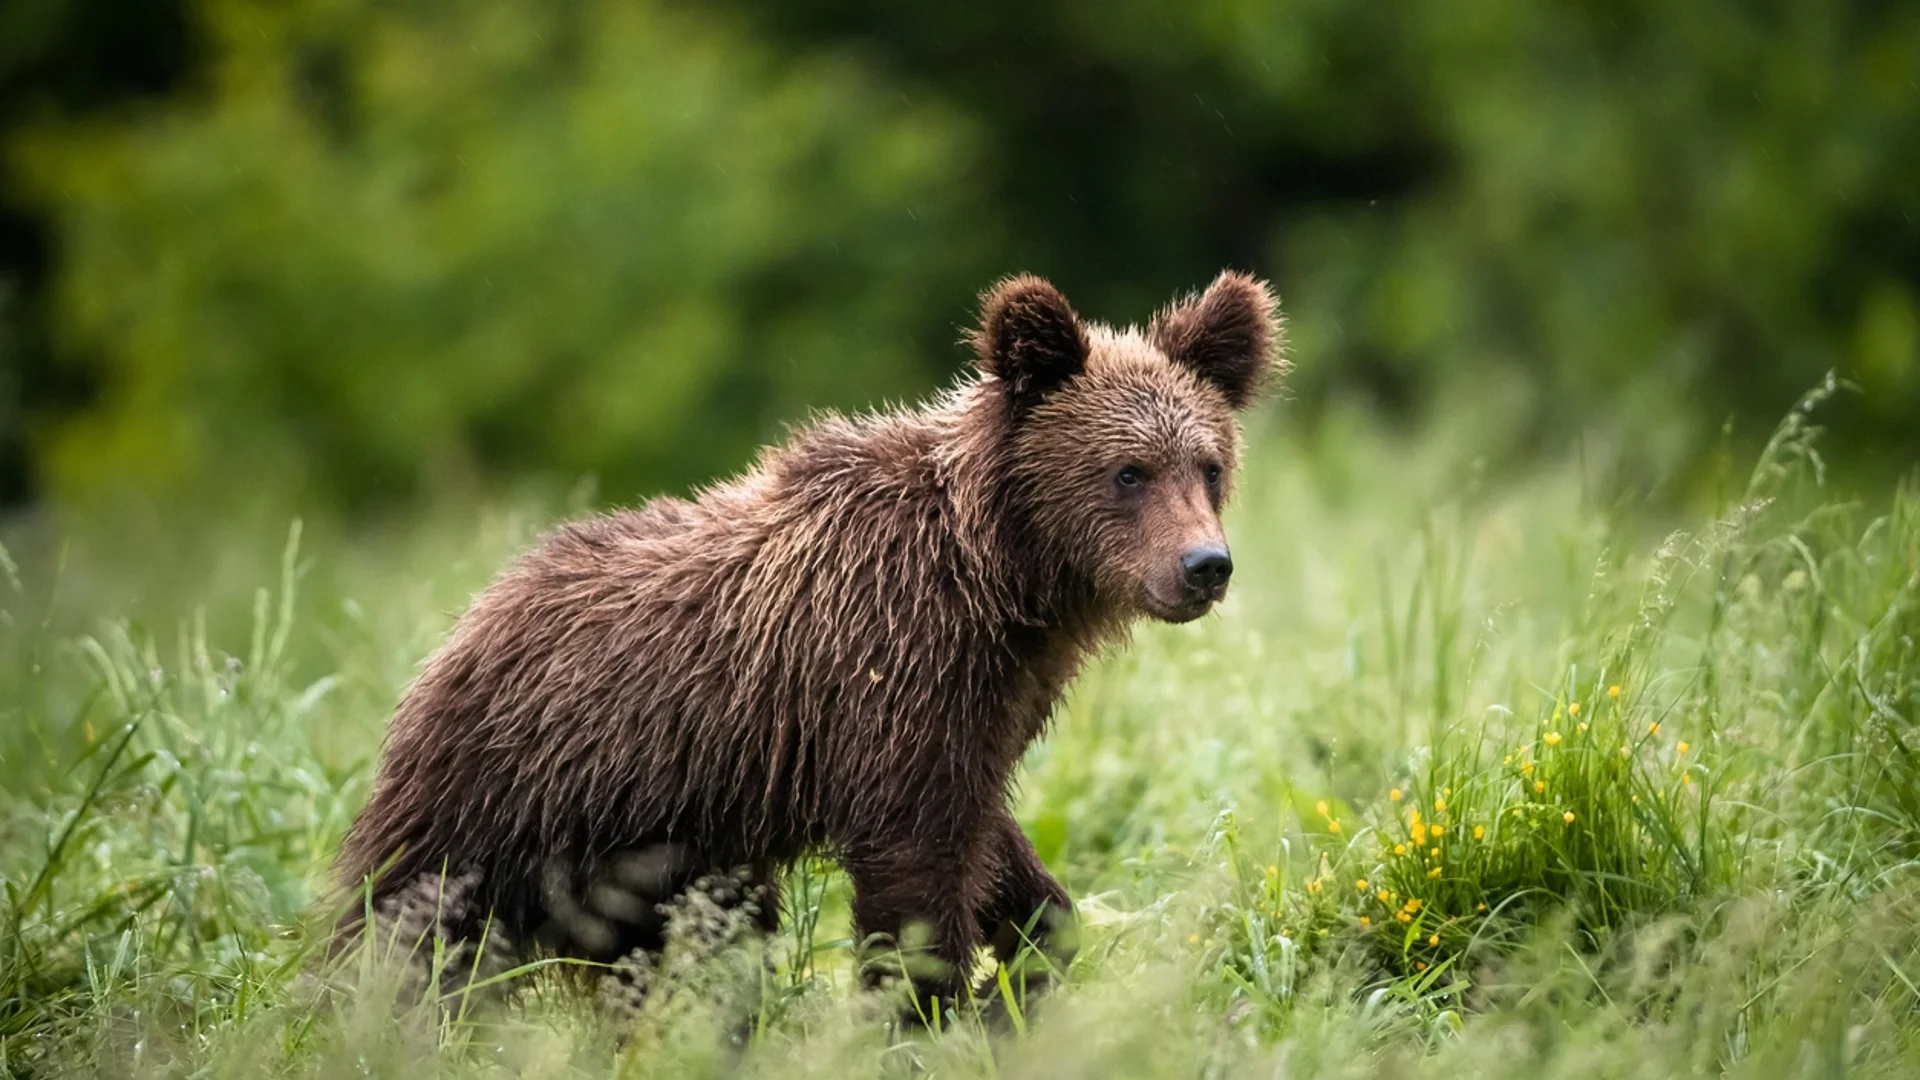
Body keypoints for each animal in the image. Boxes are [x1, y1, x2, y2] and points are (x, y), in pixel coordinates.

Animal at [332, 267, 1290, 999]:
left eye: (1208, 464)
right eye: (1128, 471)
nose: (1205, 565)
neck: (999, 578)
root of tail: (462, 624)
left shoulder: (985, 706)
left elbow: (990, 842)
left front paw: (1027, 959)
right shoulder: (890, 671)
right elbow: (914, 873)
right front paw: (926, 1008)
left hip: (647, 852)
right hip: (508, 792)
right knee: (409, 930)